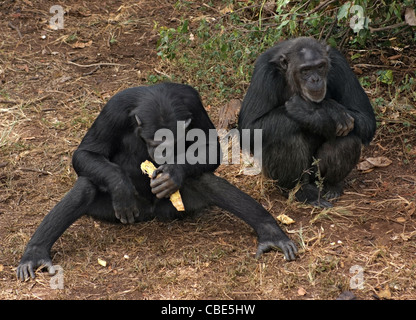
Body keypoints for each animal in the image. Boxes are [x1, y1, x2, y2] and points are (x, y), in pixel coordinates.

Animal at [16, 82, 296, 280]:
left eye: (171, 143)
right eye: (153, 141)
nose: (162, 153)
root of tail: (150, 213)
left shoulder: (193, 101)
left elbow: (211, 149)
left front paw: (173, 174)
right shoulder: (113, 109)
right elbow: (86, 153)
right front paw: (121, 186)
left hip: (176, 206)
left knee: (205, 180)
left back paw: (269, 230)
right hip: (111, 210)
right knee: (86, 186)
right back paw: (35, 252)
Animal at [237, 37, 376, 208]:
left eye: (320, 66)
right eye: (305, 70)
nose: (315, 79)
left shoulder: (340, 64)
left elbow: (366, 118)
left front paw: (314, 110)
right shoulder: (264, 74)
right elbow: (250, 127)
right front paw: (318, 111)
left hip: (315, 175)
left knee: (348, 138)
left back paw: (331, 186)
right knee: (284, 139)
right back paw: (301, 191)